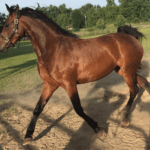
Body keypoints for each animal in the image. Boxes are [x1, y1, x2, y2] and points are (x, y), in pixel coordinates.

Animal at [0, 4, 149, 145]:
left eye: (7, 24)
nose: (1, 46)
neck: (53, 50)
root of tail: (131, 37)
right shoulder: (49, 85)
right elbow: (38, 109)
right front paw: (28, 136)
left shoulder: (69, 84)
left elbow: (78, 109)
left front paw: (99, 130)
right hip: (123, 71)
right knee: (143, 82)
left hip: (127, 72)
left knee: (134, 90)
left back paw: (124, 119)